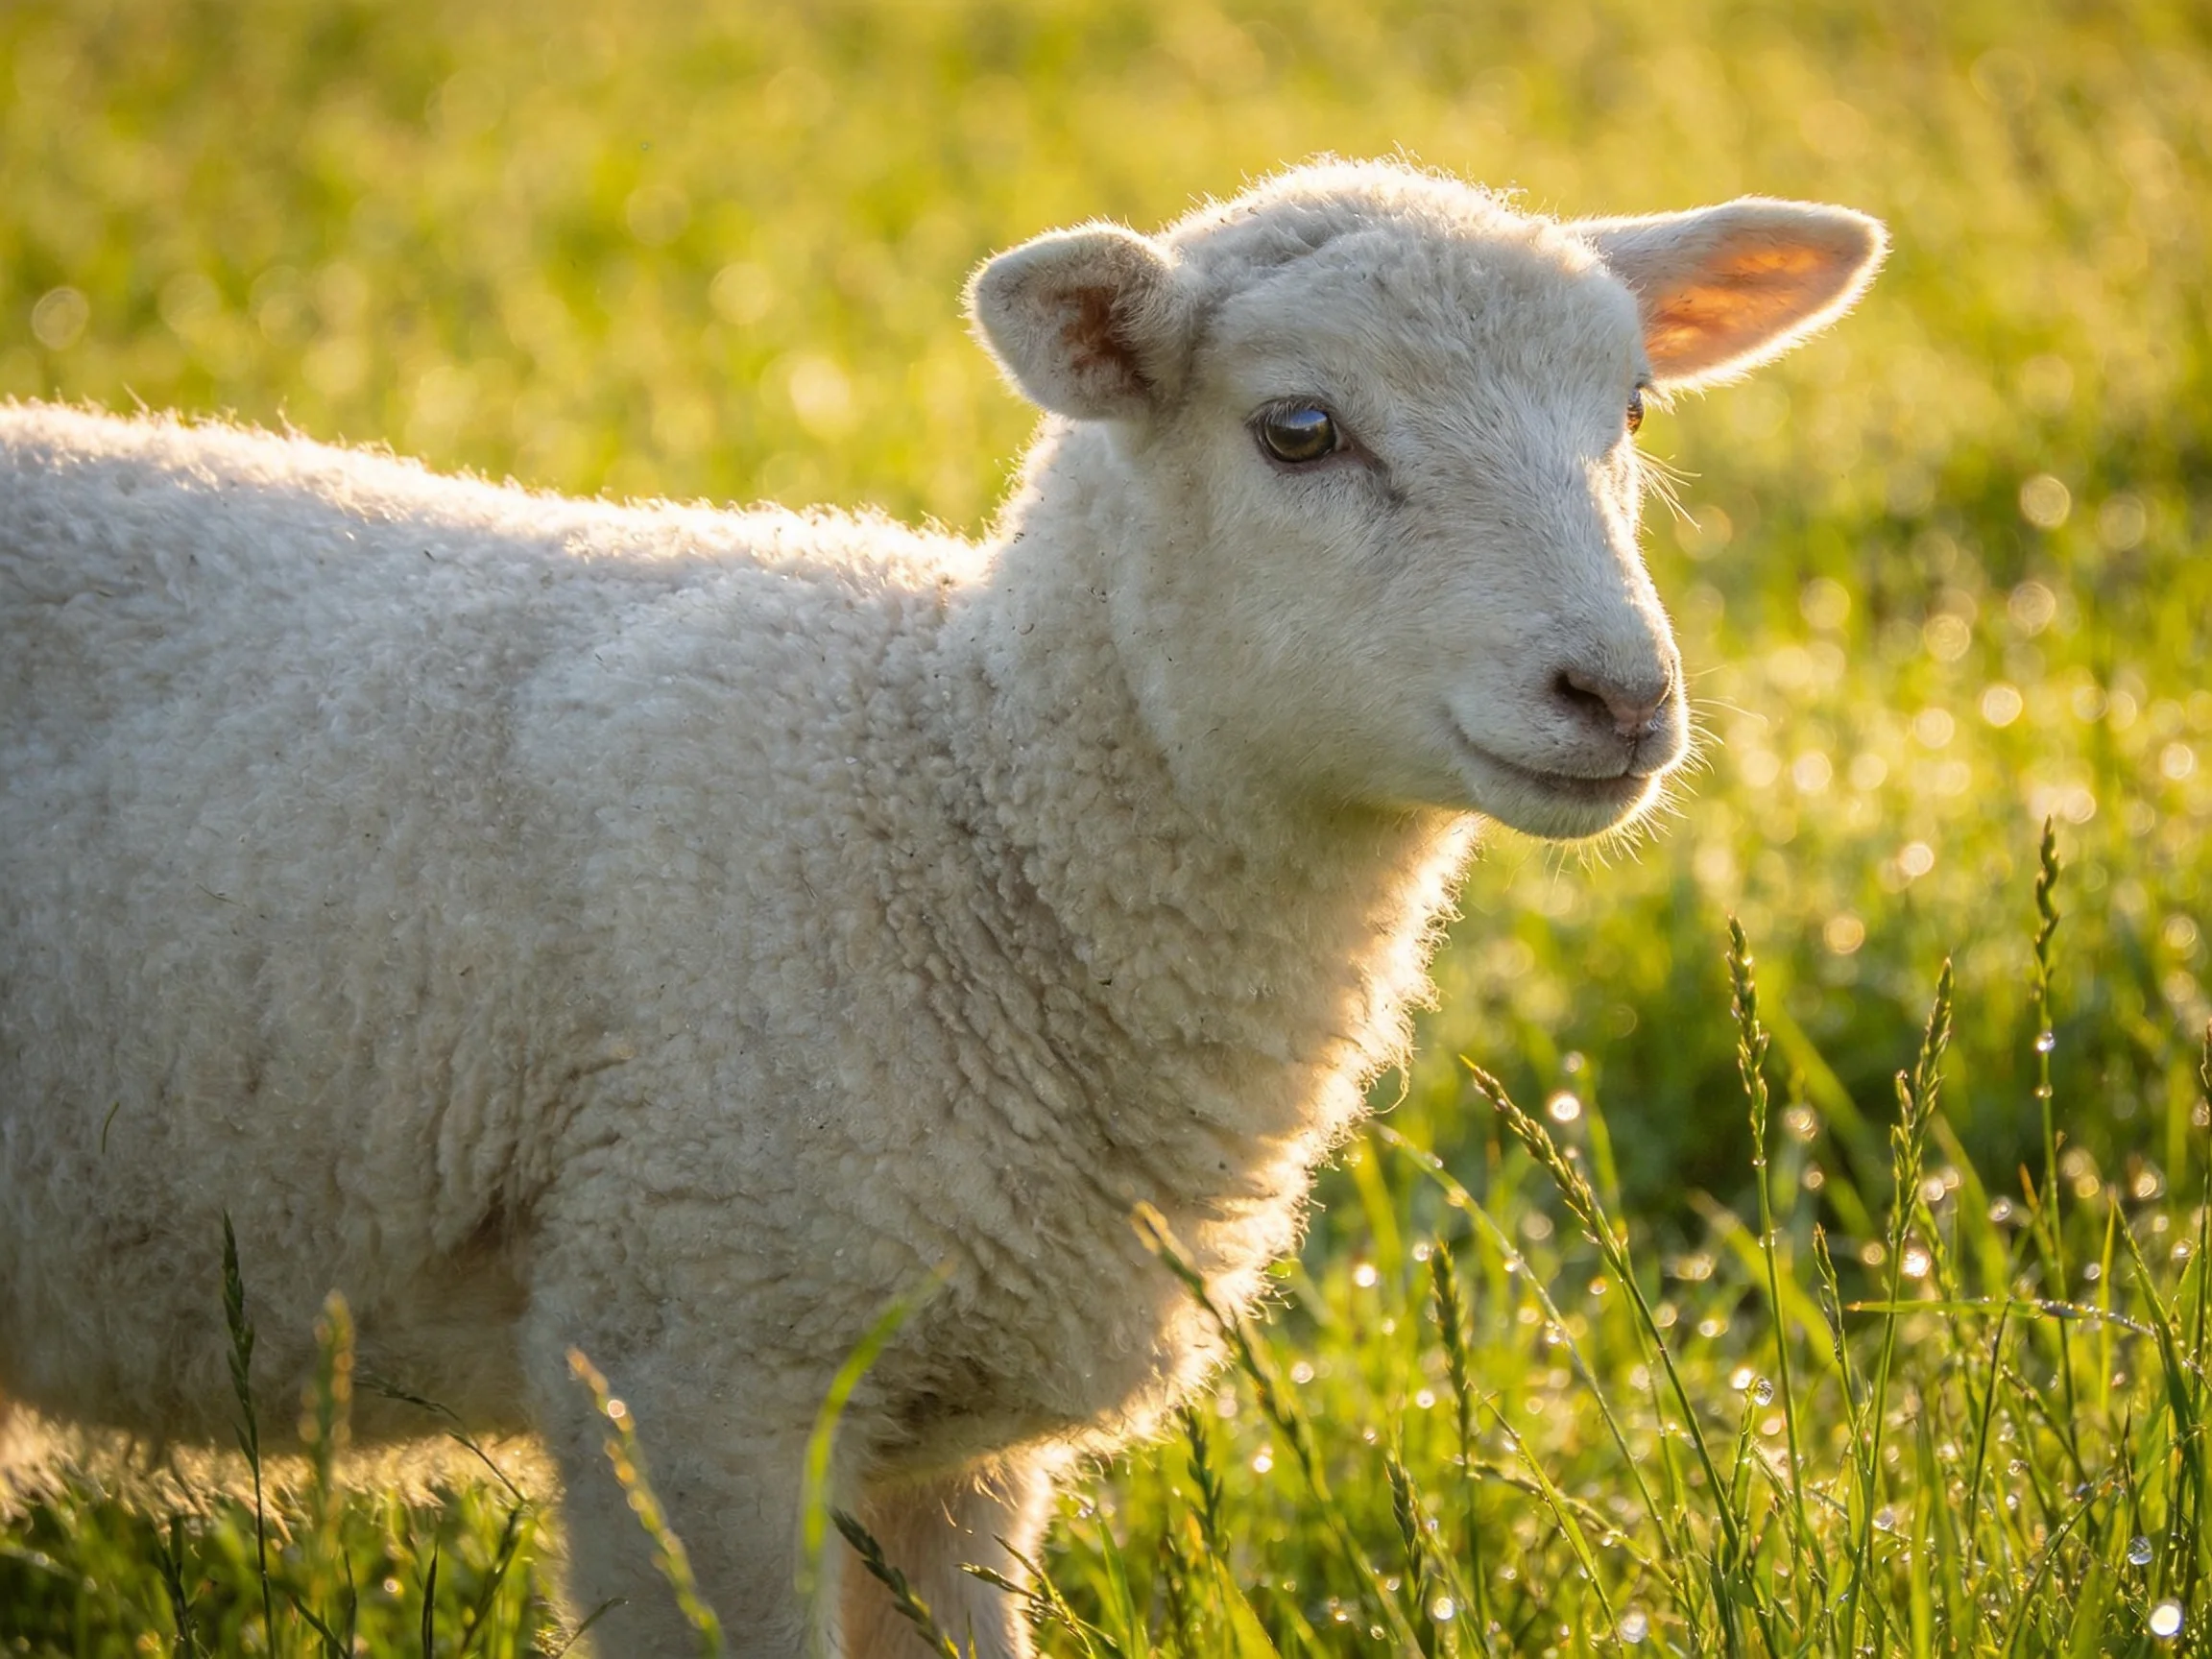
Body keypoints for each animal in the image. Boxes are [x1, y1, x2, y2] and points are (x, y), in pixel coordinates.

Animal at [0, 159, 1884, 1655]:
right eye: (1298, 429)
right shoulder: (688, 1366)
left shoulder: (957, 1444)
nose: (1617, 695)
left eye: (1629, 411)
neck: (957, 812)